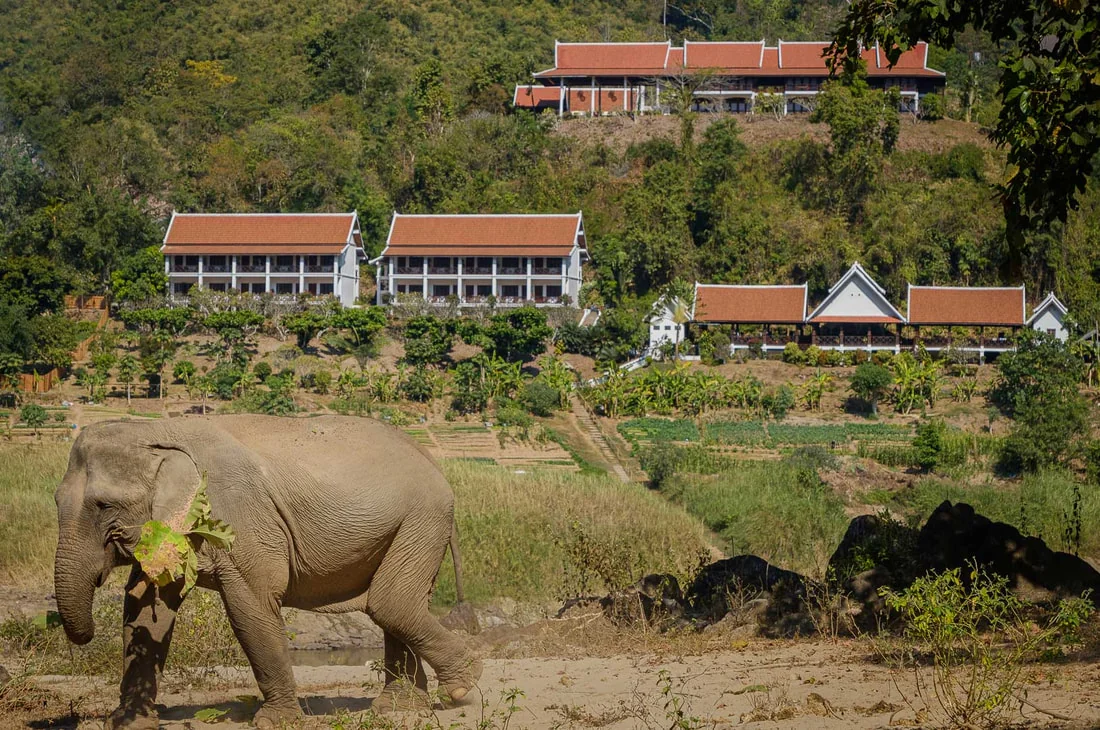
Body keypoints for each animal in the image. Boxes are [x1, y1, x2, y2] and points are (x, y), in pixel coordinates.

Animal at [53, 414, 482, 728]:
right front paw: (128, 723)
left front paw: (274, 722)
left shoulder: (241, 518)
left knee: (391, 603)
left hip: (422, 519)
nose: (85, 632)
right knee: (395, 605)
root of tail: (429, 458)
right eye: (56, 501)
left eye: (104, 506)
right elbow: (146, 609)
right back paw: (401, 708)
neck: (157, 430)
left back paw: (463, 688)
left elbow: (252, 606)